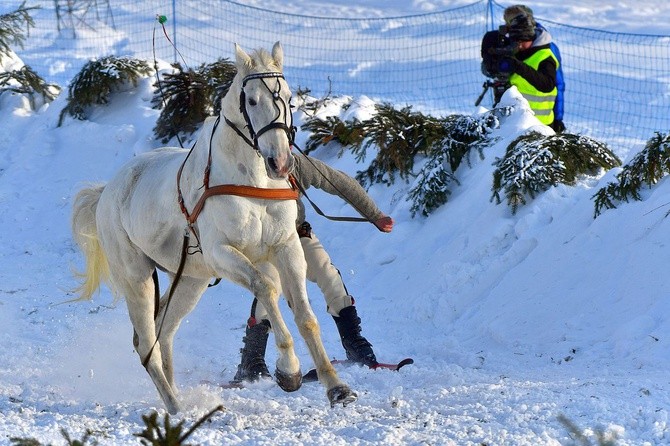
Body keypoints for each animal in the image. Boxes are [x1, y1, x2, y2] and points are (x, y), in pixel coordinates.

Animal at [71, 41, 360, 414]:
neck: (251, 181)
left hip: (191, 281)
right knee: (145, 341)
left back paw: (178, 395)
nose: (280, 162)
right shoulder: (223, 253)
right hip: (137, 278)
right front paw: (290, 371)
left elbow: (306, 316)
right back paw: (175, 406)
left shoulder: (287, 247)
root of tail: (107, 191)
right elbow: (267, 288)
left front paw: (336, 387)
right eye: (251, 100)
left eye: (289, 98)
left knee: (164, 331)